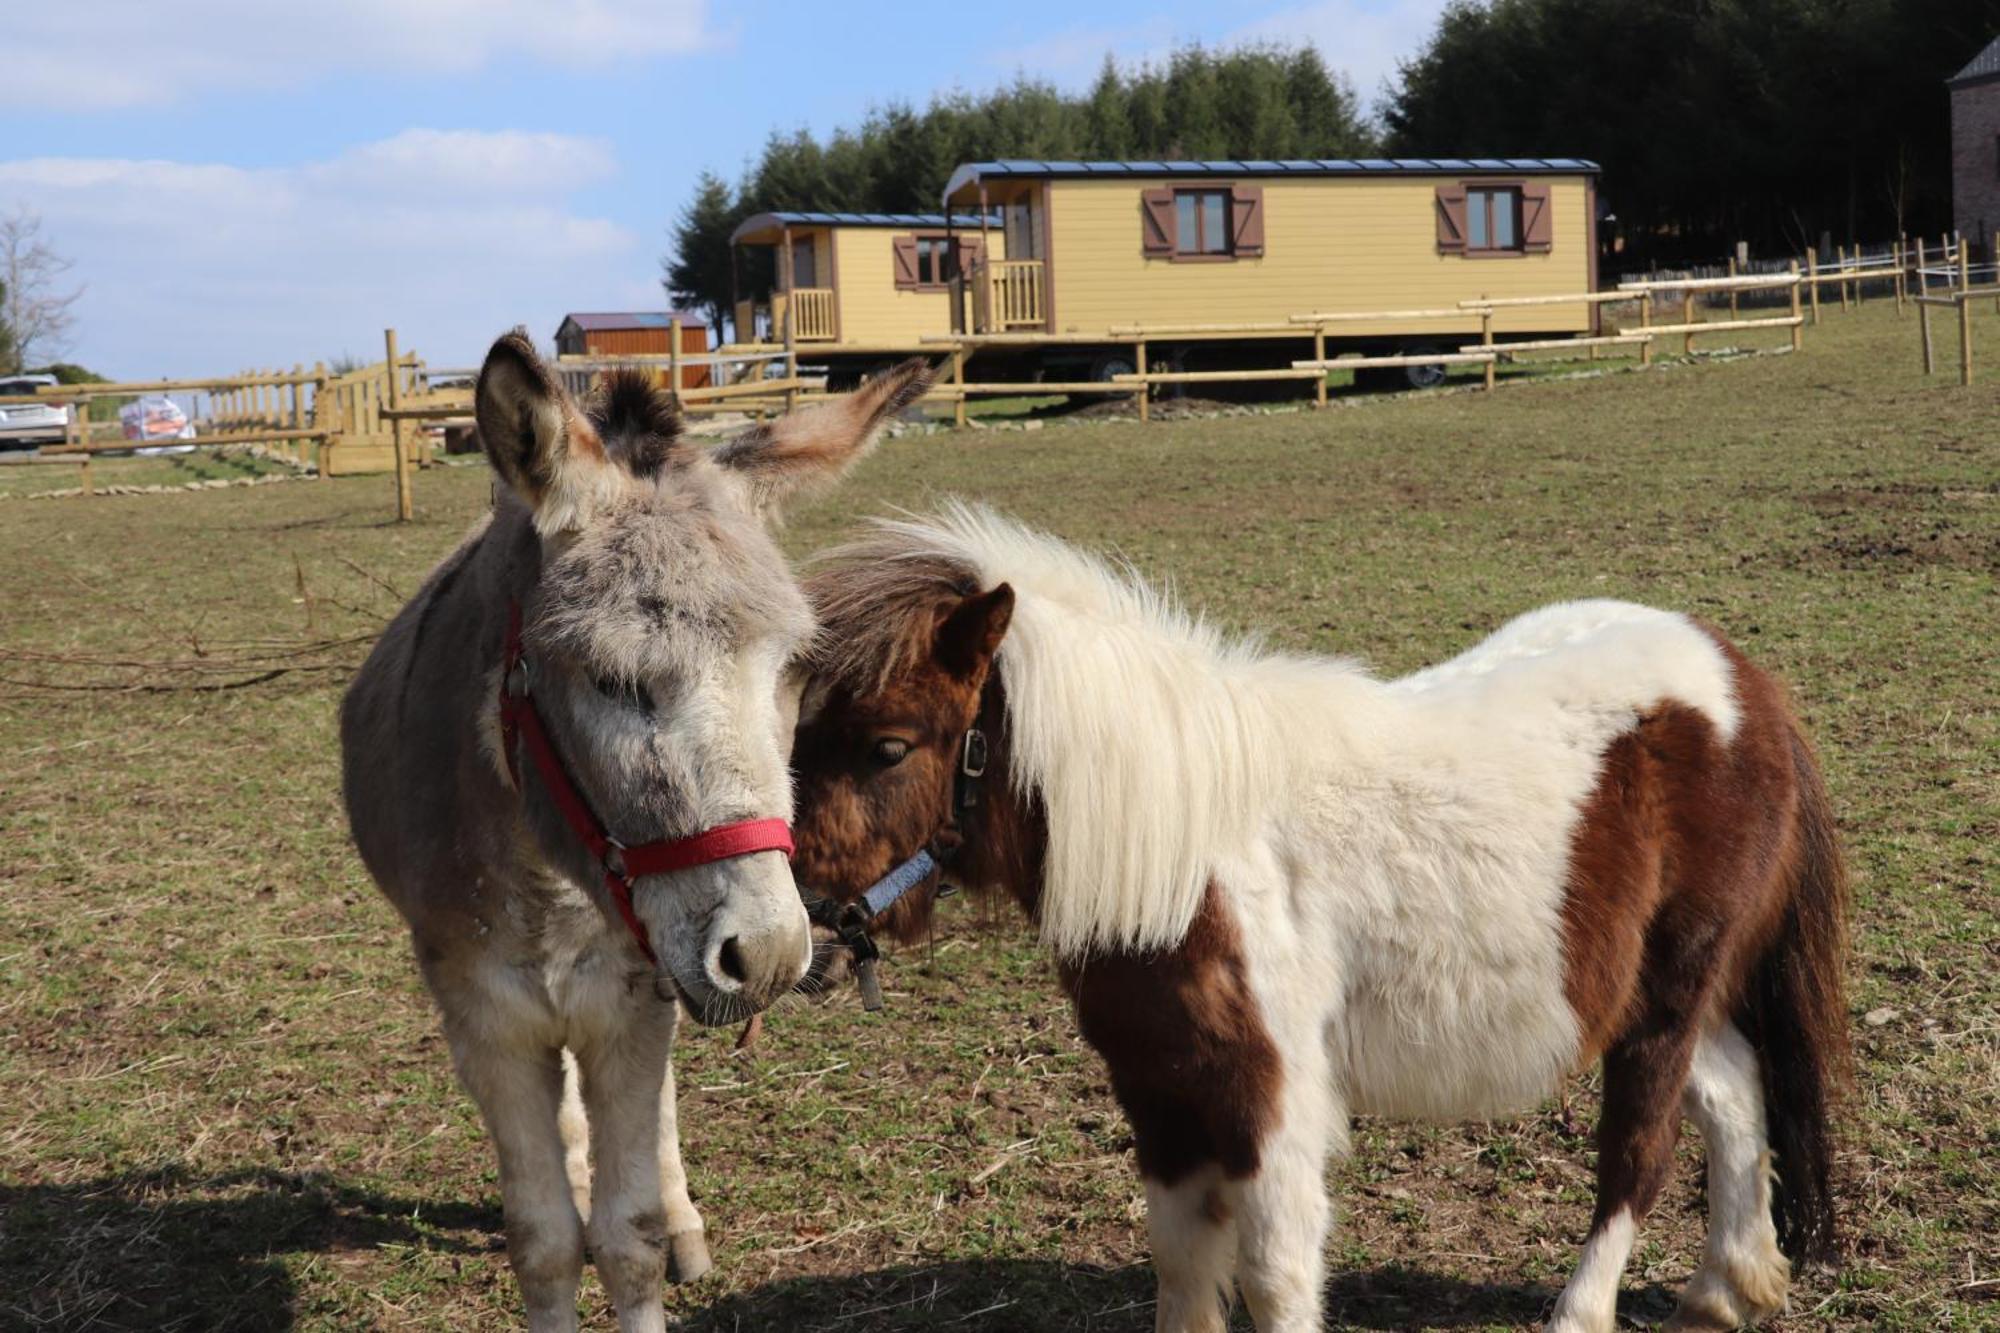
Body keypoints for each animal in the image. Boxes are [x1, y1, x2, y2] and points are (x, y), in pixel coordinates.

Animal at [342, 338, 928, 1328]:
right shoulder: (485, 1018)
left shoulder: (633, 998)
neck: (552, 884)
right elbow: (544, 1242)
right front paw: (564, 1204)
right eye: (611, 679)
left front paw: (664, 1224)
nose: (771, 953)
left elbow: (630, 1234)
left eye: (793, 670)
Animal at [788, 506, 1848, 1328]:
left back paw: (1588, 1311)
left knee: (1641, 1149)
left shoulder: (1269, 1096)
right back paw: (1726, 1291)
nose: (796, 934)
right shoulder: (1159, 1090)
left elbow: (1275, 1275)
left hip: (1668, 992)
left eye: (888, 746)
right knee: (1734, 1092)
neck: (1191, 847)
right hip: (1663, 996)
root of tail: (1742, 681)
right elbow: (1183, 1265)